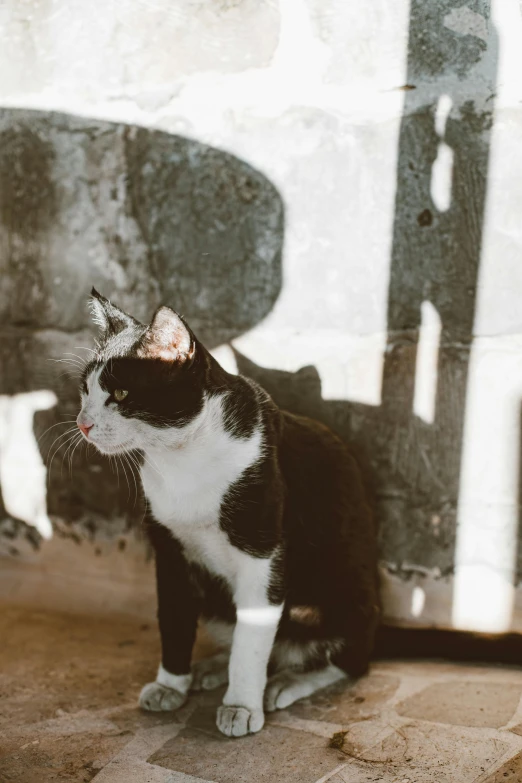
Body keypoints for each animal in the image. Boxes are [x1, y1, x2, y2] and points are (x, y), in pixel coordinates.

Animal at [76, 288, 378, 736]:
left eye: (123, 395)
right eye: (86, 391)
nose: (83, 423)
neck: (183, 457)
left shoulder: (263, 553)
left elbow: (252, 642)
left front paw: (240, 705)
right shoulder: (170, 552)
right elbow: (174, 618)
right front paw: (171, 684)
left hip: (341, 594)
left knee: (348, 659)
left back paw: (288, 680)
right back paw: (212, 668)